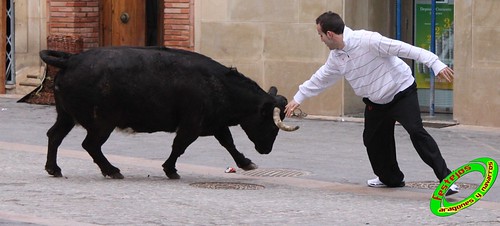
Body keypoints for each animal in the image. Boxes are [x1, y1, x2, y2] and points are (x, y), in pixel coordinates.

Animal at [41, 46, 298, 179]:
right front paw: (170, 169)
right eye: (269, 122)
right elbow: (179, 146)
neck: (217, 84)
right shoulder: (191, 125)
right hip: (102, 123)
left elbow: (229, 143)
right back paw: (112, 170)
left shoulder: (214, 124)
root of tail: (71, 60)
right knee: (91, 145)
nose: (266, 149)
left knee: (54, 136)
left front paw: (246, 163)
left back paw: (54, 169)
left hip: (66, 116)